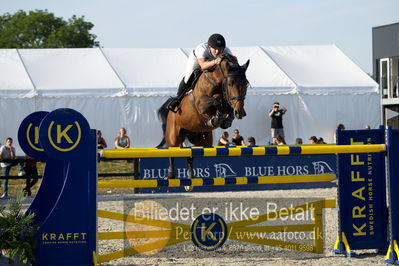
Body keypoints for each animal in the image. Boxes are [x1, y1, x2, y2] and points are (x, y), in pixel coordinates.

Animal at [157, 53, 248, 182]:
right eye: (230, 83)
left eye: (246, 83)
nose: (239, 112)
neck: (216, 81)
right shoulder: (201, 105)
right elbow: (218, 101)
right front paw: (217, 117)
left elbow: (226, 105)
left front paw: (225, 119)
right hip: (173, 136)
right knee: (172, 152)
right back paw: (171, 175)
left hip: (203, 141)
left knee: (191, 155)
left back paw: (191, 177)